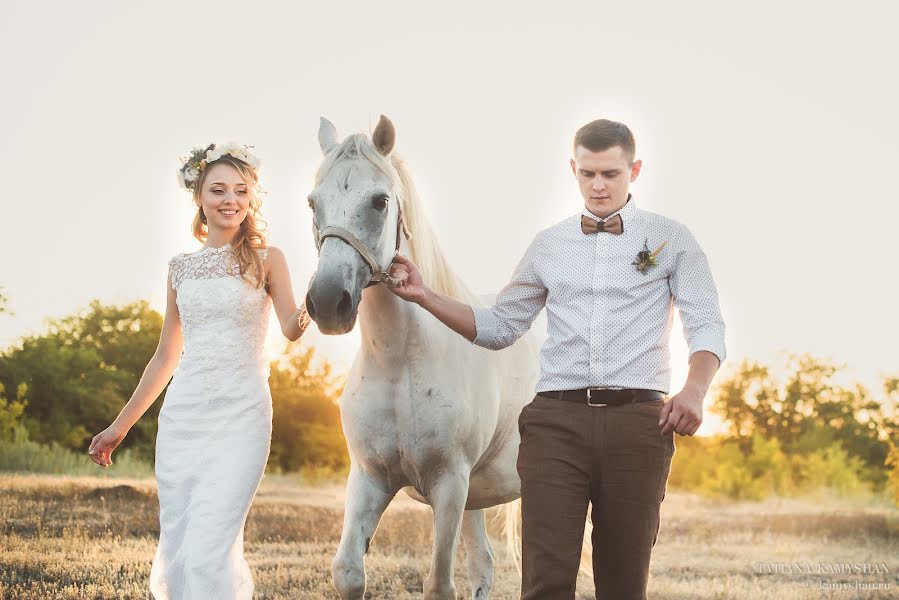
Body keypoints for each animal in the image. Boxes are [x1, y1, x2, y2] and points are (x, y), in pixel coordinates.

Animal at [302, 117, 540, 600]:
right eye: (313, 202)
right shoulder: (370, 477)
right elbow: (349, 571)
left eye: (380, 201)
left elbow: (439, 585)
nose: (329, 302)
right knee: (483, 565)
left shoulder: (449, 483)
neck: (400, 364)